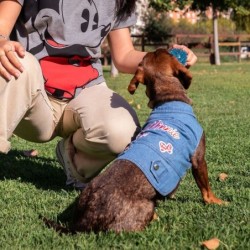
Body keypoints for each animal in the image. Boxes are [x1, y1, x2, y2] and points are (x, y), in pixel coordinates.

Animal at [43, 48, 225, 234]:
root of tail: (81, 222)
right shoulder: (198, 159)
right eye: (169, 53)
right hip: (145, 208)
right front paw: (216, 201)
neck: (168, 100)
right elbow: (205, 188)